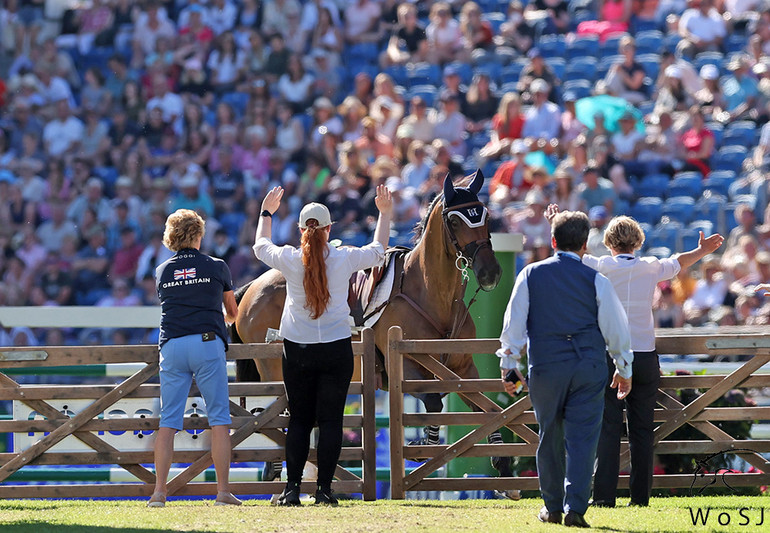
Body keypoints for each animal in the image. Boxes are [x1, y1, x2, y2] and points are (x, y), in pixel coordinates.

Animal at [231, 171, 512, 494]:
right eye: (455, 221)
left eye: (486, 216)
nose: (490, 273)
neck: (432, 293)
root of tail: (252, 286)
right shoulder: (406, 364)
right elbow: (433, 401)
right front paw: (424, 446)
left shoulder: (463, 369)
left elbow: (486, 407)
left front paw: (503, 466)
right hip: (274, 371)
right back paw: (278, 472)